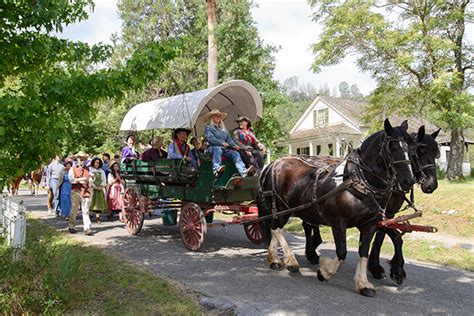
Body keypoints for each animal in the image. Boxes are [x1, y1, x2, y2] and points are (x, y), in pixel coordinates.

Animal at [260, 119, 414, 296]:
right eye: (393, 147)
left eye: (410, 147)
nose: (409, 181)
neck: (358, 181)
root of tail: (273, 164)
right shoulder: (338, 222)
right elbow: (341, 252)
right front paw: (324, 272)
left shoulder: (370, 224)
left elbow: (363, 253)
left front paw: (363, 284)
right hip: (281, 208)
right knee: (276, 229)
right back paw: (290, 261)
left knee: (275, 229)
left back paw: (275, 259)